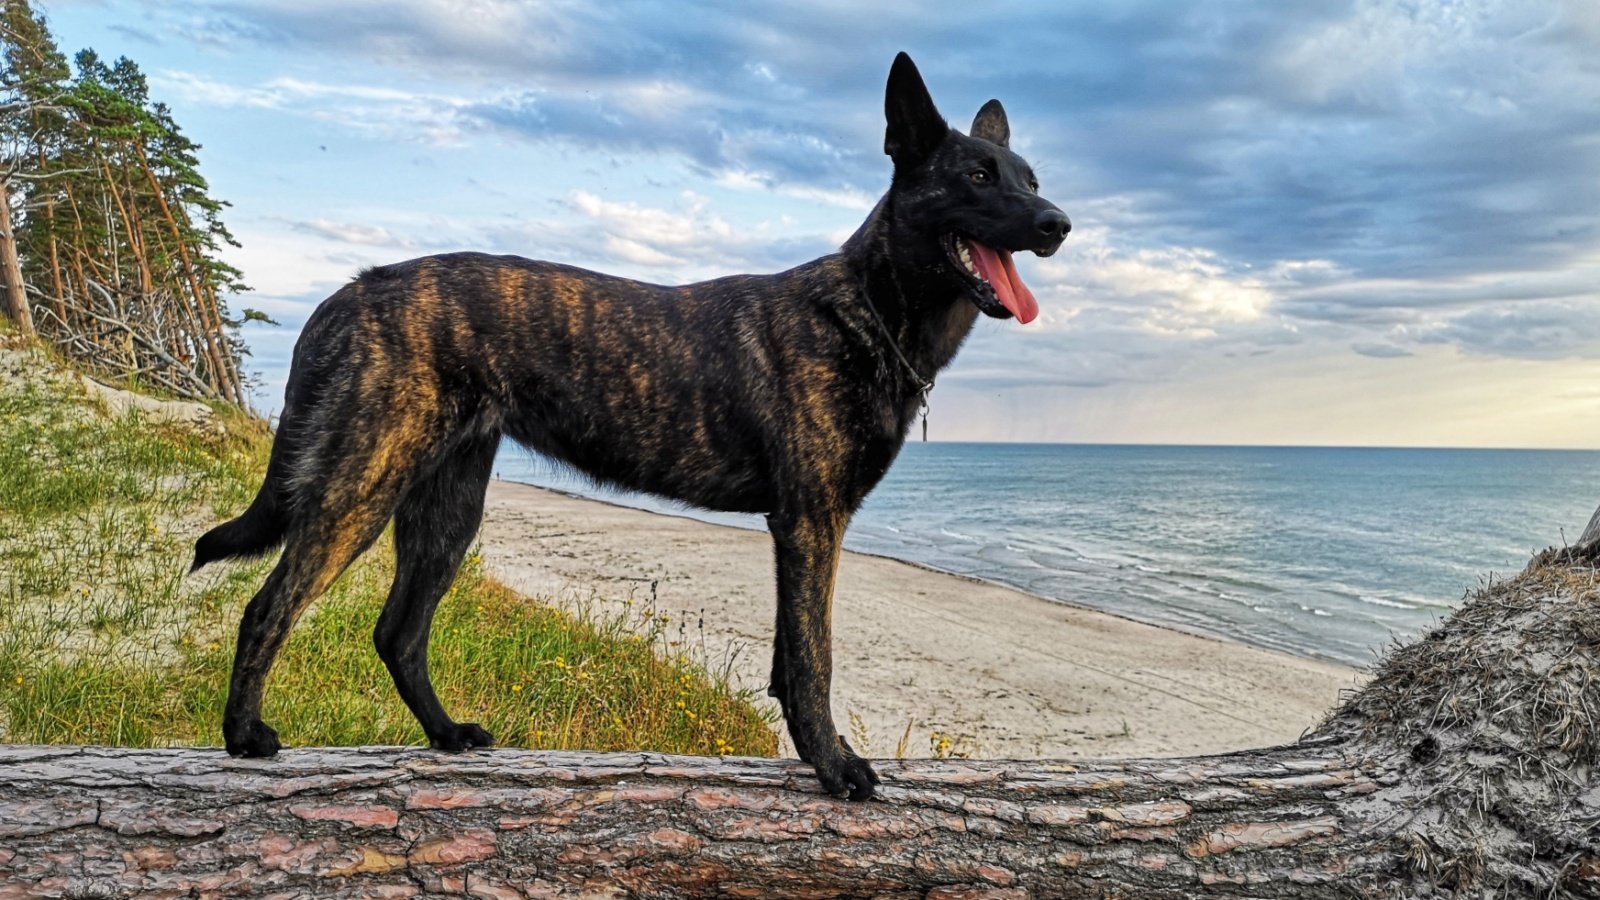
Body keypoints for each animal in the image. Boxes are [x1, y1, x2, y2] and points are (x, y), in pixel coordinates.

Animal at [200, 52, 1075, 794]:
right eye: (975, 175)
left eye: (1031, 178)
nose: (1058, 224)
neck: (867, 309)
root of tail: (353, 289)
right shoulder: (811, 522)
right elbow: (813, 656)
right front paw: (833, 766)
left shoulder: (800, 529)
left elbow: (788, 658)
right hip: (362, 485)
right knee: (270, 606)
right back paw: (243, 737)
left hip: (447, 507)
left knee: (398, 634)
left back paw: (445, 735)